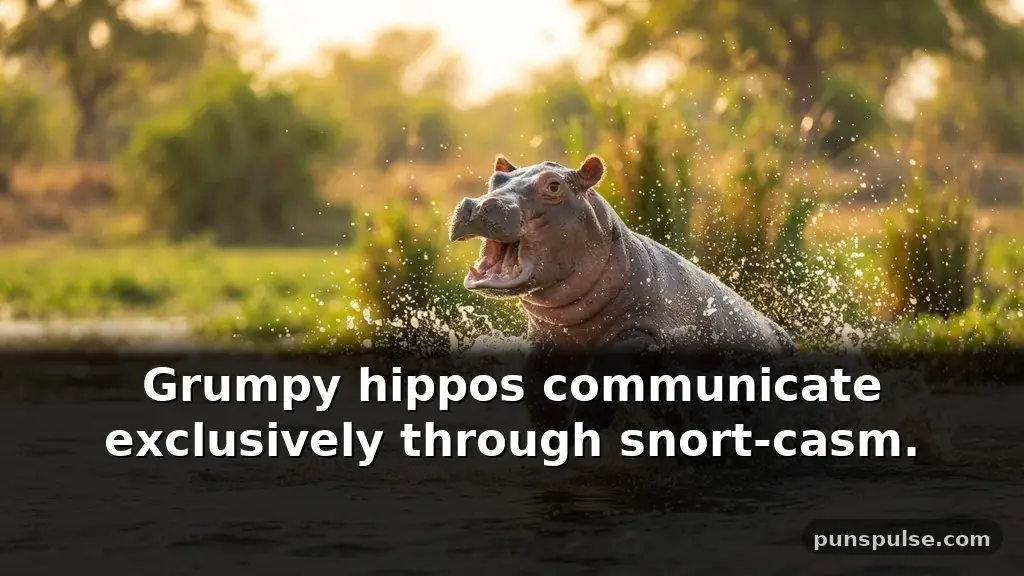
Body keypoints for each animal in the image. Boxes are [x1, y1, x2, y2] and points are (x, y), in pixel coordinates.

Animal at [448, 154, 796, 431]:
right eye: (496, 179)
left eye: (554, 186)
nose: (478, 204)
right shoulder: (548, 341)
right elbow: (534, 382)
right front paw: (551, 428)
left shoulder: (647, 331)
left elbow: (607, 367)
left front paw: (584, 423)